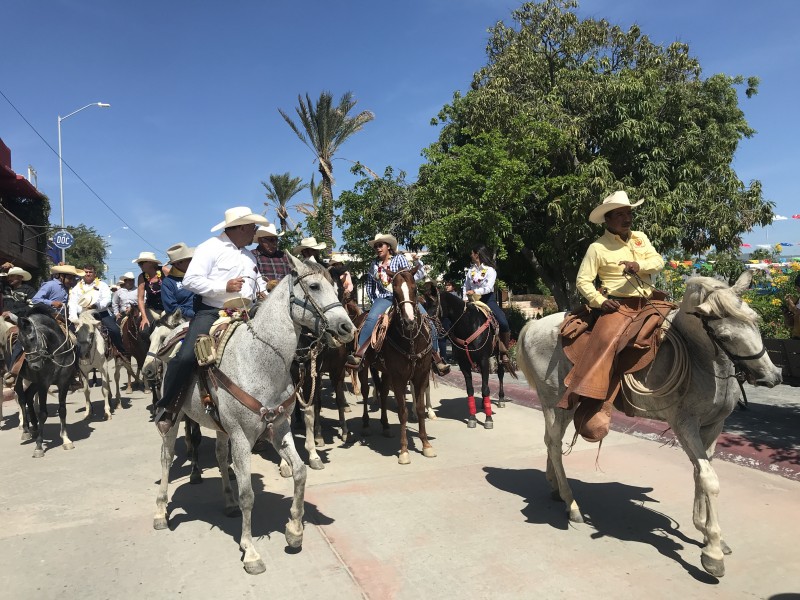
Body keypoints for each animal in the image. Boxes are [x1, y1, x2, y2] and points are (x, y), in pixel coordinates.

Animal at [16, 308, 79, 458]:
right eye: (19, 341)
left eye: (32, 338)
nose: (34, 366)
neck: (55, 353)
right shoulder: (43, 384)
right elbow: (43, 413)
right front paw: (39, 446)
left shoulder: (63, 382)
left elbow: (62, 410)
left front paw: (66, 440)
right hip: (20, 378)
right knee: (21, 398)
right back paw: (26, 430)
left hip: (33, 382)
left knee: (28, 396)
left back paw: (34, 428)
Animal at [155, 260, 354, 576]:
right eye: (313, 286)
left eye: (336, 288)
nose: (348, 328)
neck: (261, 360)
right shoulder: (241, 436)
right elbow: (248, 493)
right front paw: (250, 551)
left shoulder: (279, 427)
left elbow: (300, 472)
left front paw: (294, 530)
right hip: (174, 417)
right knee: (165, 457)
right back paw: (161, 512)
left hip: (220, 427)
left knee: (221, 456)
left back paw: (228, 502)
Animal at [358, 268, 434, 464]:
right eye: (395, 292)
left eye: (415, 289)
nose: (409, 321)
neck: (411, 341)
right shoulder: (399, 378)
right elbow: (402, 412)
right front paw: (404, 451)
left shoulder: (421, 375)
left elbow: (420, 409)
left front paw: (426, 445)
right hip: (363, 367)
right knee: (365, 391)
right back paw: (366, 424)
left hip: (386, 372)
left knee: (384, 393)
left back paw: (385, 426)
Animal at [520, 272, 780, 576]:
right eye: (725, 336)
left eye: (756, 319)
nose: (772, 376)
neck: (700, 359)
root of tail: (535, 324)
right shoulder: (684, 425)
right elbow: (708, 478)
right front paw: (712, 552)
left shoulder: (714, 426)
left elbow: (700, 472)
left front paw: (704, 530)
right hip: (556, 404)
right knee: (554, 444)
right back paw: (571, 504)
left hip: (560, 406)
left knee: (551, 443)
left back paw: (555, 489)